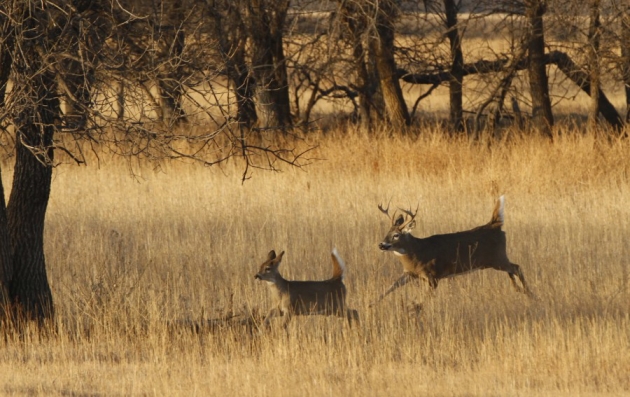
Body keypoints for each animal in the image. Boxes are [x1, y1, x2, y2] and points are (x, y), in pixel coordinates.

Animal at [376, 196, 532, 306]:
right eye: (387, 232)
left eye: (396, 235)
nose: (381, 245)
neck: (416, 253)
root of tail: (494, 225)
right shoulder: (409, 273)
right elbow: (391, 286)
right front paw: (373, 303)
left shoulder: (433, 275)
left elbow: (424, 299)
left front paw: (413, 309)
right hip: (497, 259)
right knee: (512, 270)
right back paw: (519, 289)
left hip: (497, 258)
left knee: (516, 267)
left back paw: (530, 293)